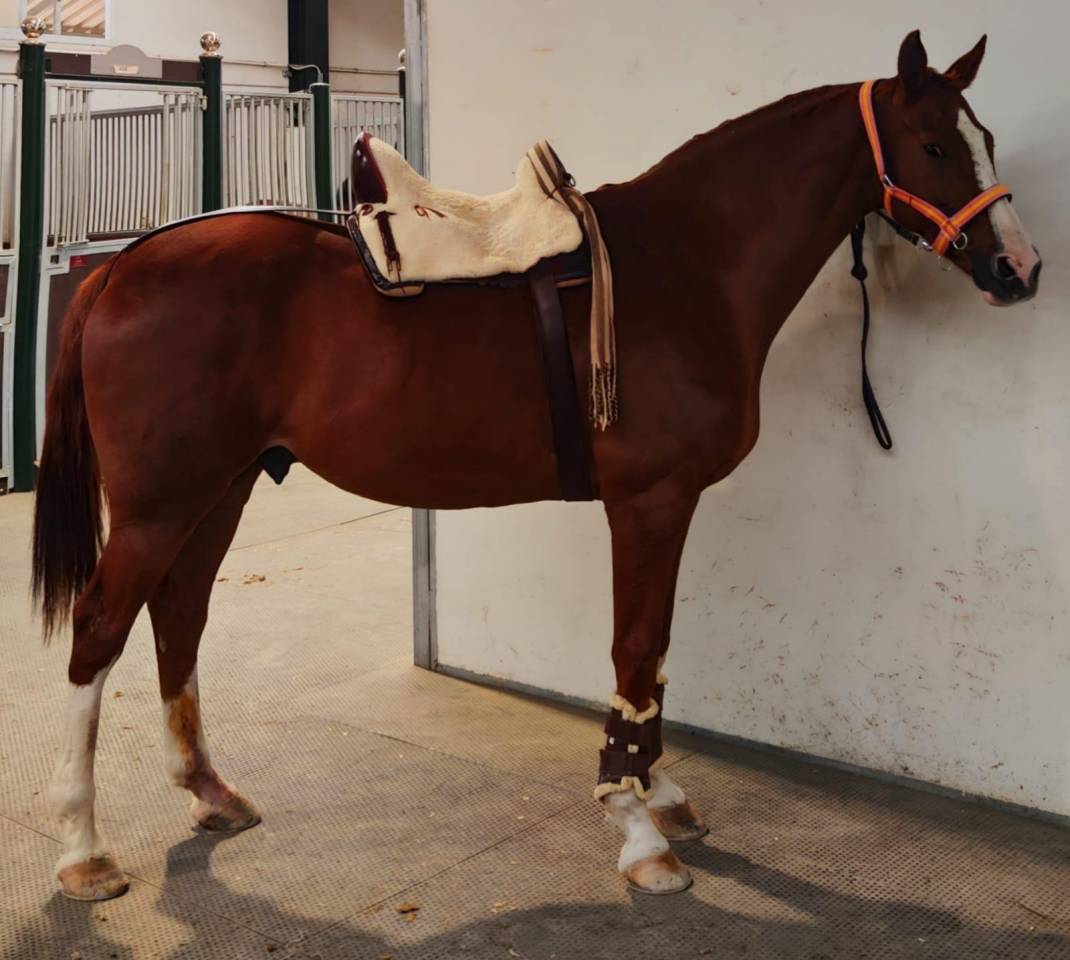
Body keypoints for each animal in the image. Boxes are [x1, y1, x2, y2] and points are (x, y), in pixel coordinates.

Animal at [33, 30, 1040, 900]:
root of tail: (122, 267)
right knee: (98, 633)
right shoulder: (648, 501)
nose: (1020, 270)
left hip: (222, 488)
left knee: (179, 616)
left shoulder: (665, 506)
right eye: (932, 145)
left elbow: (654, 657)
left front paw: (659, 795)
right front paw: (638, 833)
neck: (687, 264)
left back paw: (210, 792)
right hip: (162, 504)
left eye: (984, 139)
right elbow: (635, 650)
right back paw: (83, 851)